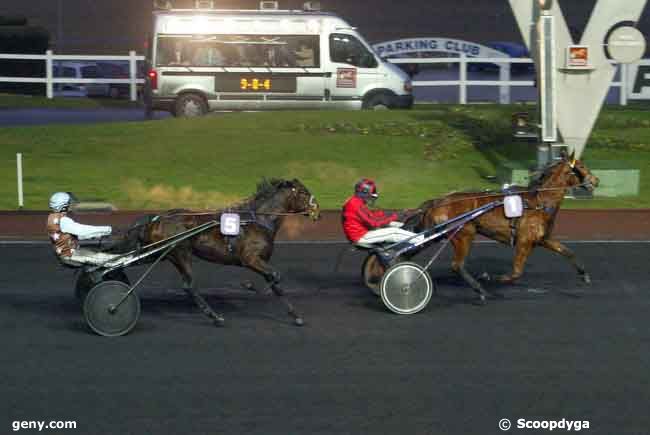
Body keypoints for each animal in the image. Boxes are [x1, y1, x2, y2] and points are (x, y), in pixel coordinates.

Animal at [123, 178, 318, 328]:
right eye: (304, 192)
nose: (317, 211)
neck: (259, 221)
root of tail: (157, 219)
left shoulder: (260, 261)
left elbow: (276, 284)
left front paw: (296, 316)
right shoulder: (250, 258)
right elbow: (275, 277)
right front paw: (249, 286)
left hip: (165, 254)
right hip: (181, 252)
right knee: (189, 286)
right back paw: (215, 317)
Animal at [410, 153, 596, 304]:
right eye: (581, 166)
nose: (595, 180)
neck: (540, 202)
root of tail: (438, 201)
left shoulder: (542, 239)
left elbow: (567, 252)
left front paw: (584, 274)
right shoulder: (524, 241)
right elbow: (516, 272)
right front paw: (488, 277)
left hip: (440, 234)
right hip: (464, 234)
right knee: (457, 265)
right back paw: (480, 289)